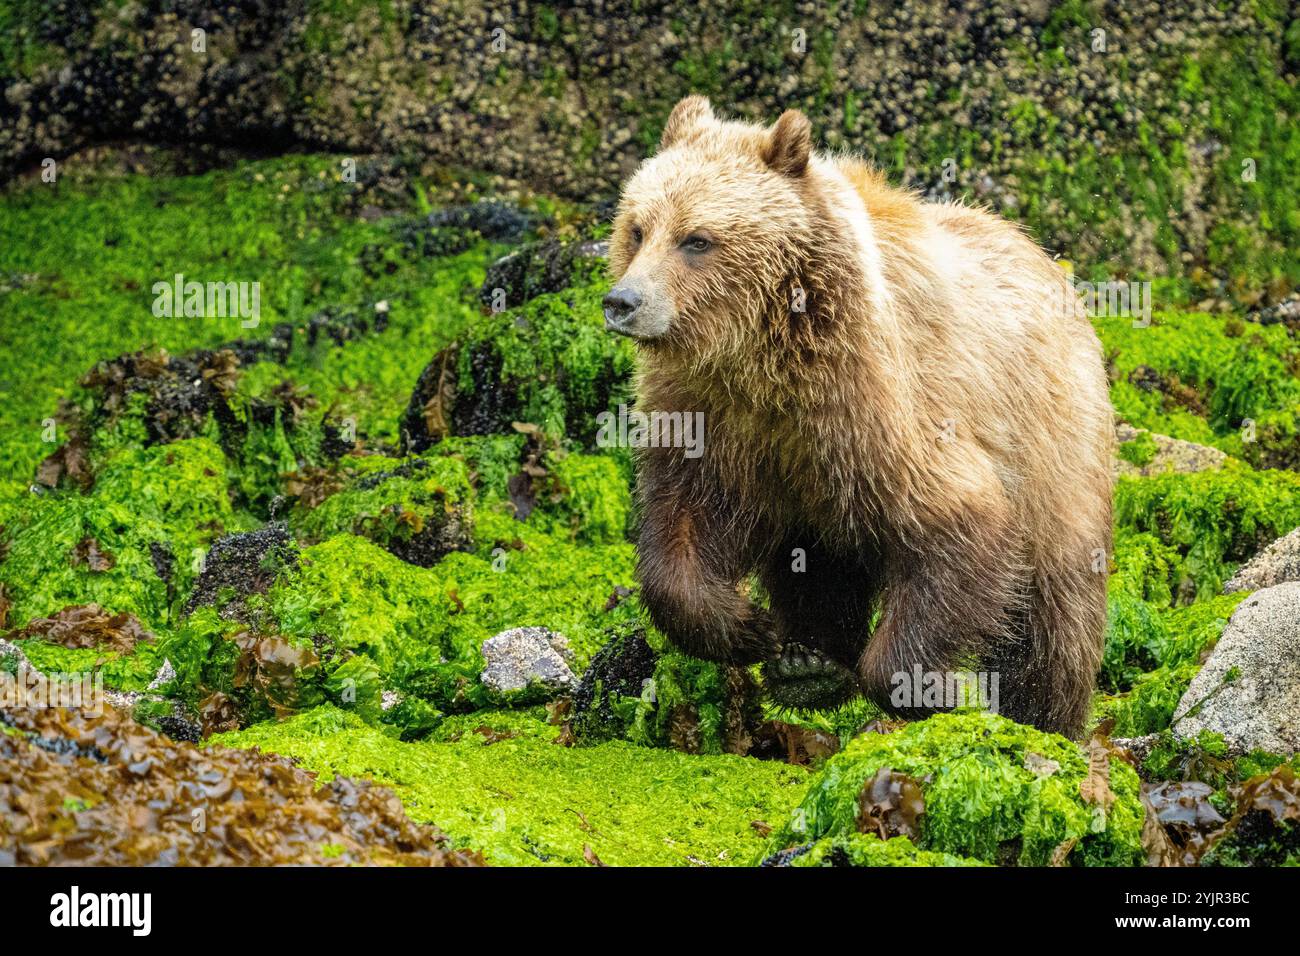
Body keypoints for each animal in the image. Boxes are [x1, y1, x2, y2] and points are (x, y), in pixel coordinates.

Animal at [603, 97, 1112, 738]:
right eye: (637, 228)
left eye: (697, 239)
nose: (624, 301)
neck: (764, 356)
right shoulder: (711, 420)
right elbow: (682, 532)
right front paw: (749, 628)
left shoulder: (885, 406)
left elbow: (961, 521)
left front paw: (928, 687)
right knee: (816, 565)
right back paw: (810, 664)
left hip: (1056, 452)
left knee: (1055, 610)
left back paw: (1046, 720)